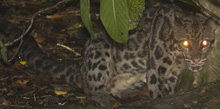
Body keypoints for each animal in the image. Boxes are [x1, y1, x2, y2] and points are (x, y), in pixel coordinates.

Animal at [0, 3, 217, 105]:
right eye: (185, 43)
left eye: (205, 42)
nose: (196, 59)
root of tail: (81, 68)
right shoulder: (158, 71)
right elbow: (159, 93)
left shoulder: (169, 76)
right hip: (99, 49)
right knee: (93, 89)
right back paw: (105, 97)